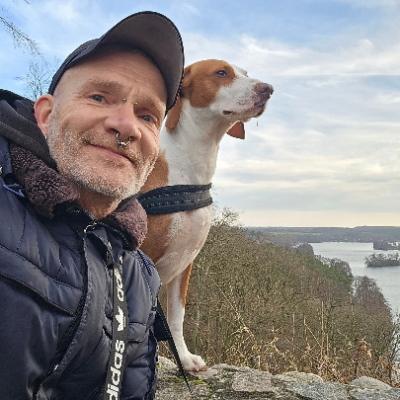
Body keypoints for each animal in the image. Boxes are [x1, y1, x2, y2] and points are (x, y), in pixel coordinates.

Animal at [140, 59, 273, 371]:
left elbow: (176, 318)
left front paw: (183, 357)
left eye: (246, 73)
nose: (268, 89)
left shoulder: (185, 264)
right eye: (221, 73)